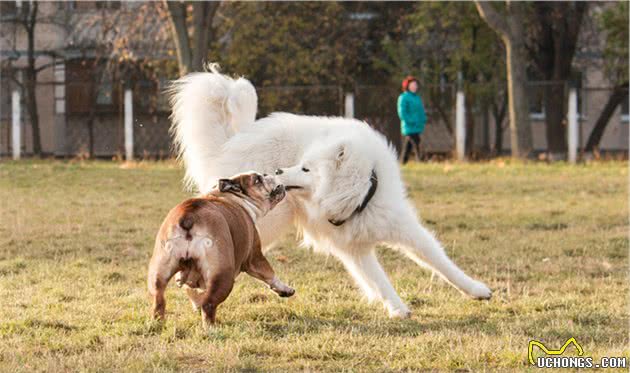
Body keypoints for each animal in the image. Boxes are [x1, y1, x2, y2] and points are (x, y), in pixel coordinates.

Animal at [149, 171, 296, 326]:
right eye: (257, 180)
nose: (268, 173)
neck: (235, 198)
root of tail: (188, 217)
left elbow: (191, 289)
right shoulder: (254, 257)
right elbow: (270, 275)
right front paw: (286, 290)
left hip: (159, 269)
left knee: (159, 299)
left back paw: (157, 323)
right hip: (224, 273)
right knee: (208, 304)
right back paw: (211, 327)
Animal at [169, 65, 494, 316]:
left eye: (305, 168)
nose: (277, 172)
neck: (360, 197)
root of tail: (228, 145)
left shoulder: (383, 236)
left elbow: (439, 265)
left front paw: (474, 290)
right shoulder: (354, 246)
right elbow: (382, 278)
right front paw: (399, 308)